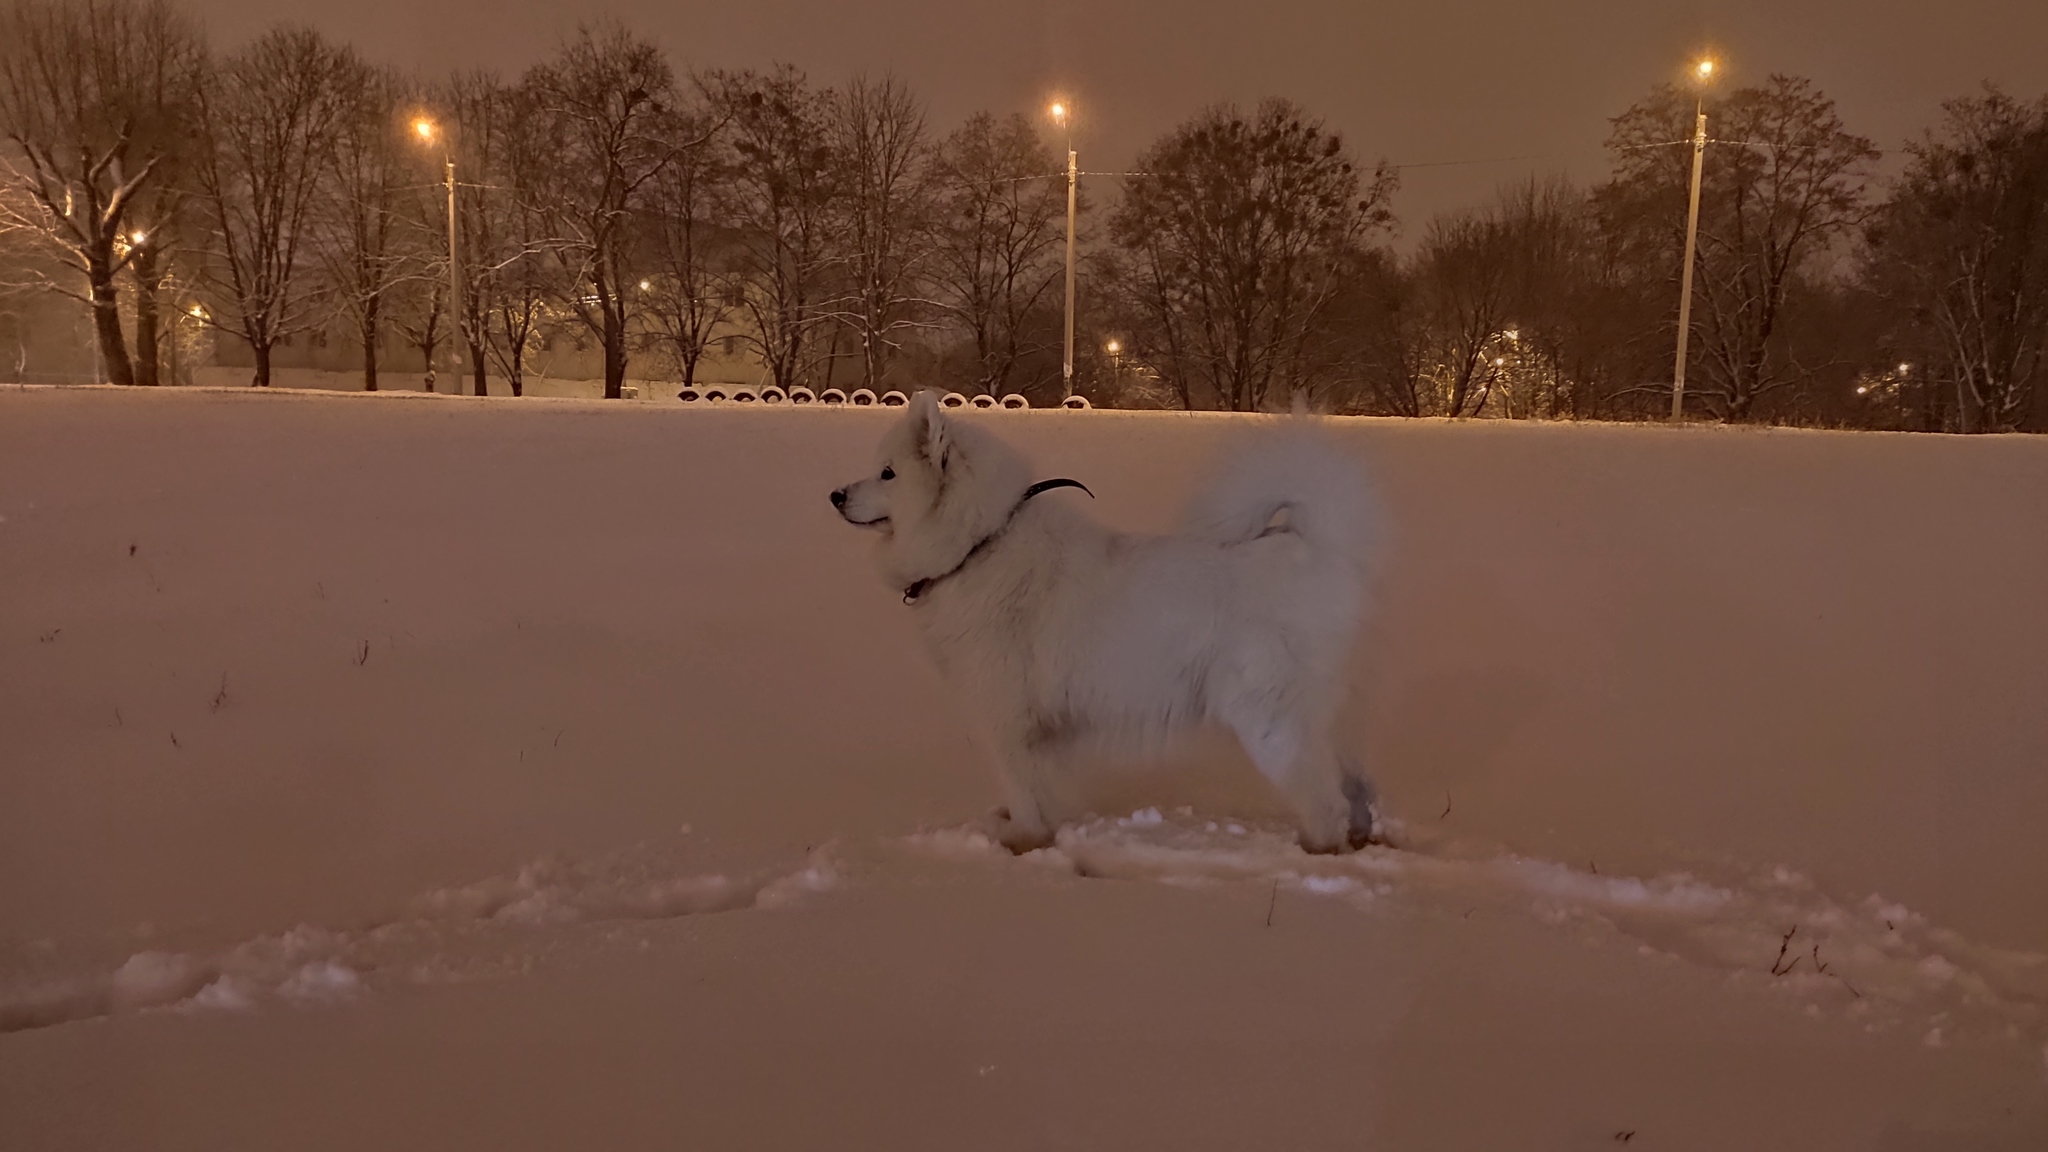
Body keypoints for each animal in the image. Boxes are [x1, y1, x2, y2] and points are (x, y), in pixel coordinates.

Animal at [823, 393, 1384, 852]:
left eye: (888, 474)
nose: (835, 495)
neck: (978, 546)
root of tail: (1311, 543)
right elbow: (1041, 788)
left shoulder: (1008, 719)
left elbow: (1024, 789)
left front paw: (1023, 844)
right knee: (1352, 783)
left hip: (1265, 717)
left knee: (1321, 797)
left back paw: (1315, 849)